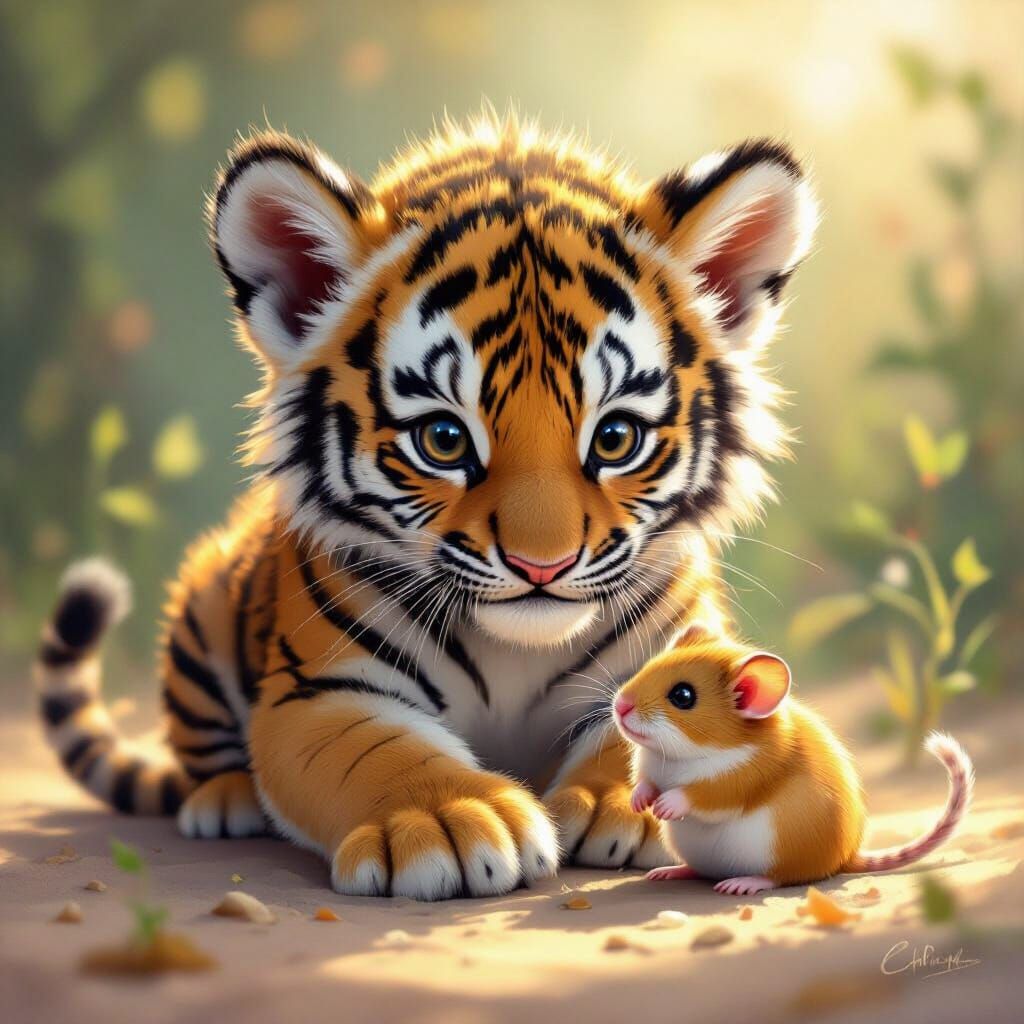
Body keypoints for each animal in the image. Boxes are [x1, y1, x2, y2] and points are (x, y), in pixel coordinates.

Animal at [34, 112, 817, 900]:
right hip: (202, 607)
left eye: (616, 437)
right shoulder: (318, 692)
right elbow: (379, 751)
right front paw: (451, 821)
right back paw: (226, 800)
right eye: (443, 439)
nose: (543, 565)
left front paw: (619, 808)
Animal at [612, 622, 974, 895]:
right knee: (700, 870)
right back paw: (671, 871)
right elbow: (645, 783)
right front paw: (640, 802)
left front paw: (665, 805)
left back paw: (742, 883)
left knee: (781, 878)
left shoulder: (738, 781)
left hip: (776, 851)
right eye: (649, 667)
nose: (620, 705)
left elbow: (699, 795)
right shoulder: (648, 769)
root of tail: (845, 858)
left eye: (683, 696)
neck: (682, 753)